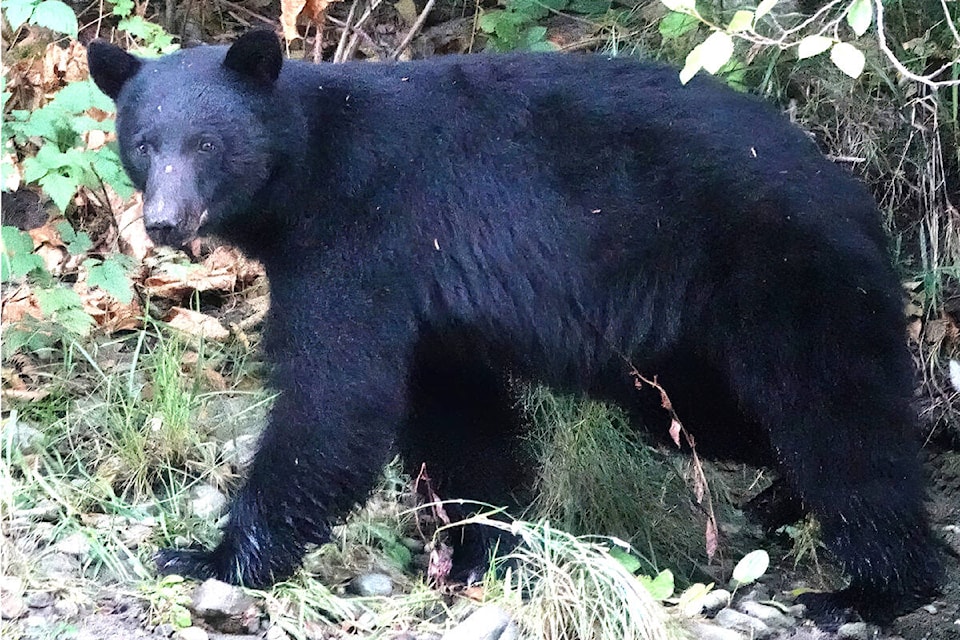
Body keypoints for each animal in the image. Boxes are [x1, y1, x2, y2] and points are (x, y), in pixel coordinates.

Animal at [86, 28, 940, 620]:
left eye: (207, 144)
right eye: (144, 144)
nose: (163, 223)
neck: (307, 167)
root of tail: (858, 200)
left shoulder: (358, 241)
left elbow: (335, 402)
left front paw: (212, 558)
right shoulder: (429, 305)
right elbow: (456, 419)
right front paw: (482, 548)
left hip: (786, 284)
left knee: (841, 424)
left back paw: (875, 589)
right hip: (684, 353)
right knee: (737, 421)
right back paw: (782, 503)